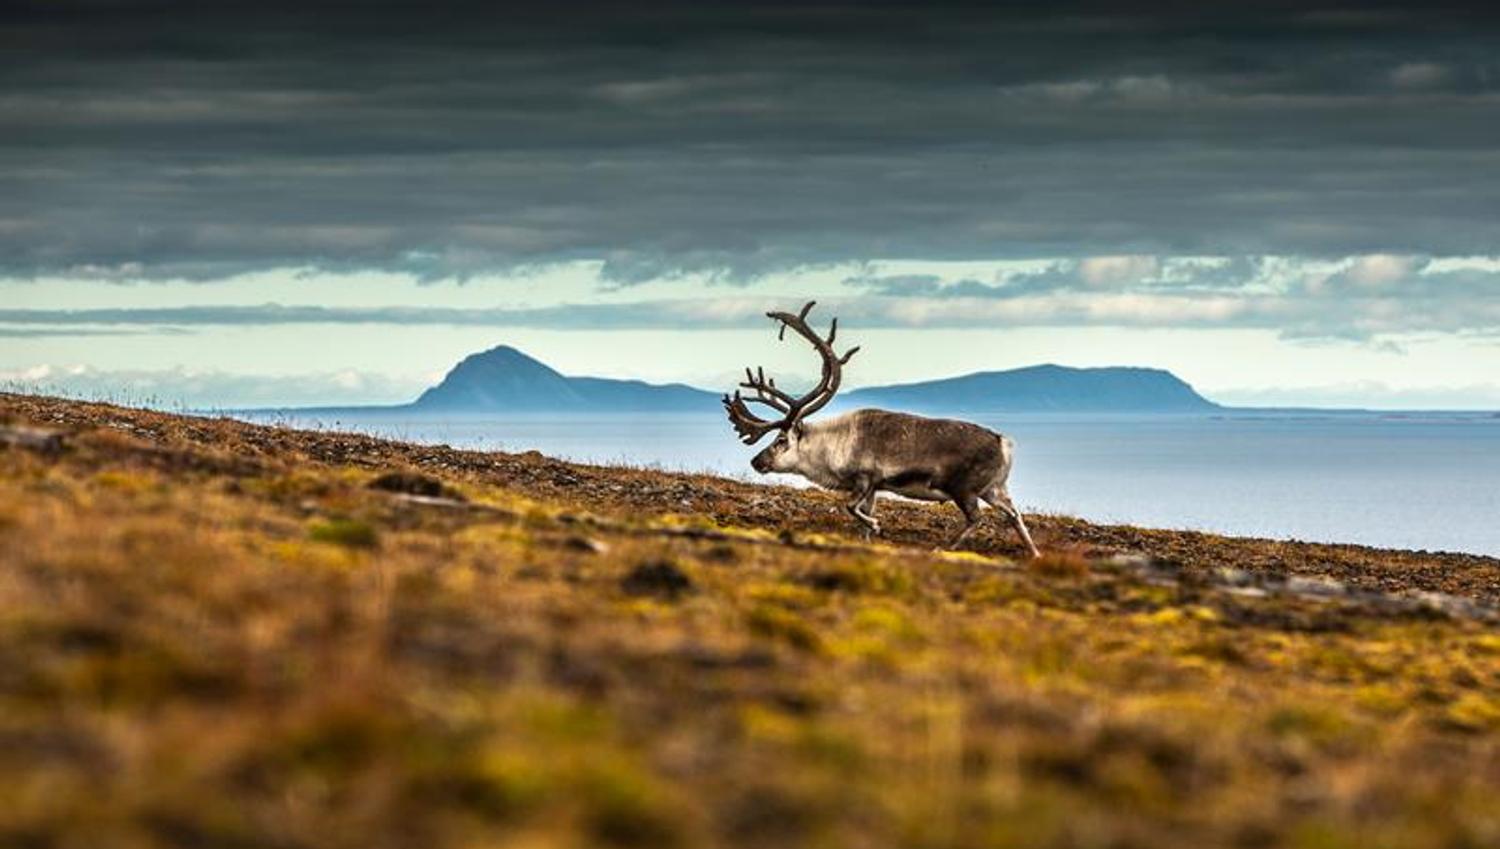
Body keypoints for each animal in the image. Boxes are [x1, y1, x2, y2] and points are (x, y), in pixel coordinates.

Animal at [723, 301, 1040, 557]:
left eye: (780, 439)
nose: (756, 461)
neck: (833, 447)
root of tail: (1003, 442)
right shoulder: (873, 488)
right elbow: (860, 515)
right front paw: (867, 537)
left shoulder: (866, 478)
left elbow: (851, 508)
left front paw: (876, 526)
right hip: (994, 488)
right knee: (1013, 514)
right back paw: (1034, 554)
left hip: (964, 488)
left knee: (977, 517)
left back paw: (945, 547)